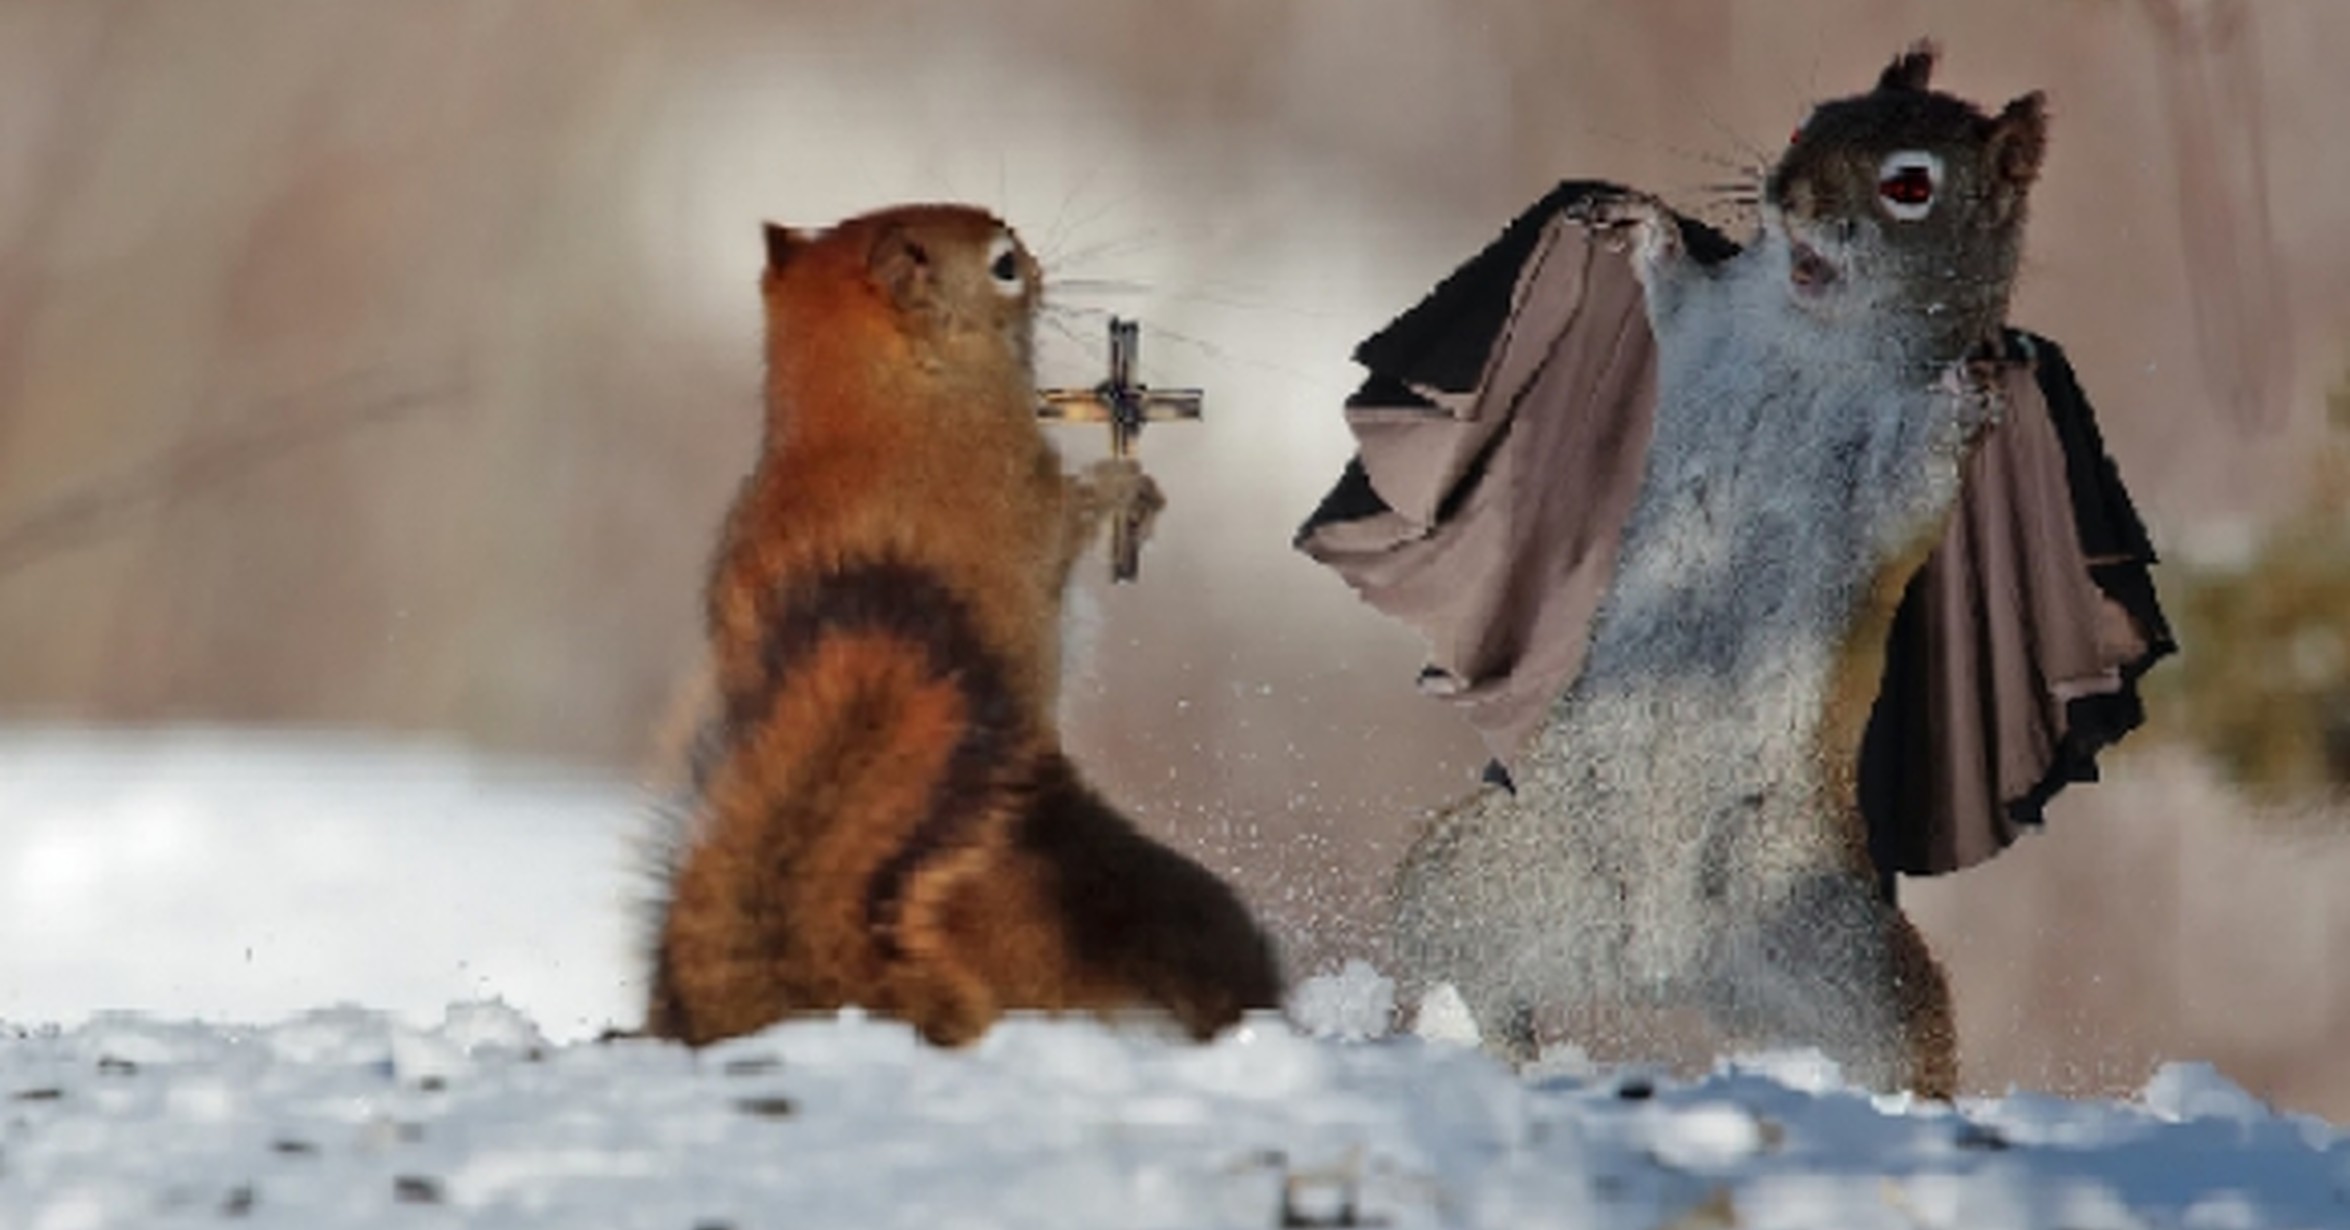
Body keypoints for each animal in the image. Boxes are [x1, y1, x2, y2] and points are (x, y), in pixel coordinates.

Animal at [643, 204, 1281, 1048]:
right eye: (1003, 265)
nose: (1041, 270)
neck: (870, 399)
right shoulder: (1023, 503)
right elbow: (1073, 517)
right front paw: (1128, 488)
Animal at [1388, 43, 2049, 1097]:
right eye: (1807, 122)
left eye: (1913, 186)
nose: (1787, 194)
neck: (1811, 337)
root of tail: (1657, 962)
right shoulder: (1695, 335)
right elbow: (1669, 292)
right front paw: (1642, 225)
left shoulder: (1897, 477)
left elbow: (1920, 467)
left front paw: (1974, 385)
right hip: (1475, 883)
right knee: (1456, 968)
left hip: (1838, 950)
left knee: (1902, 1041)